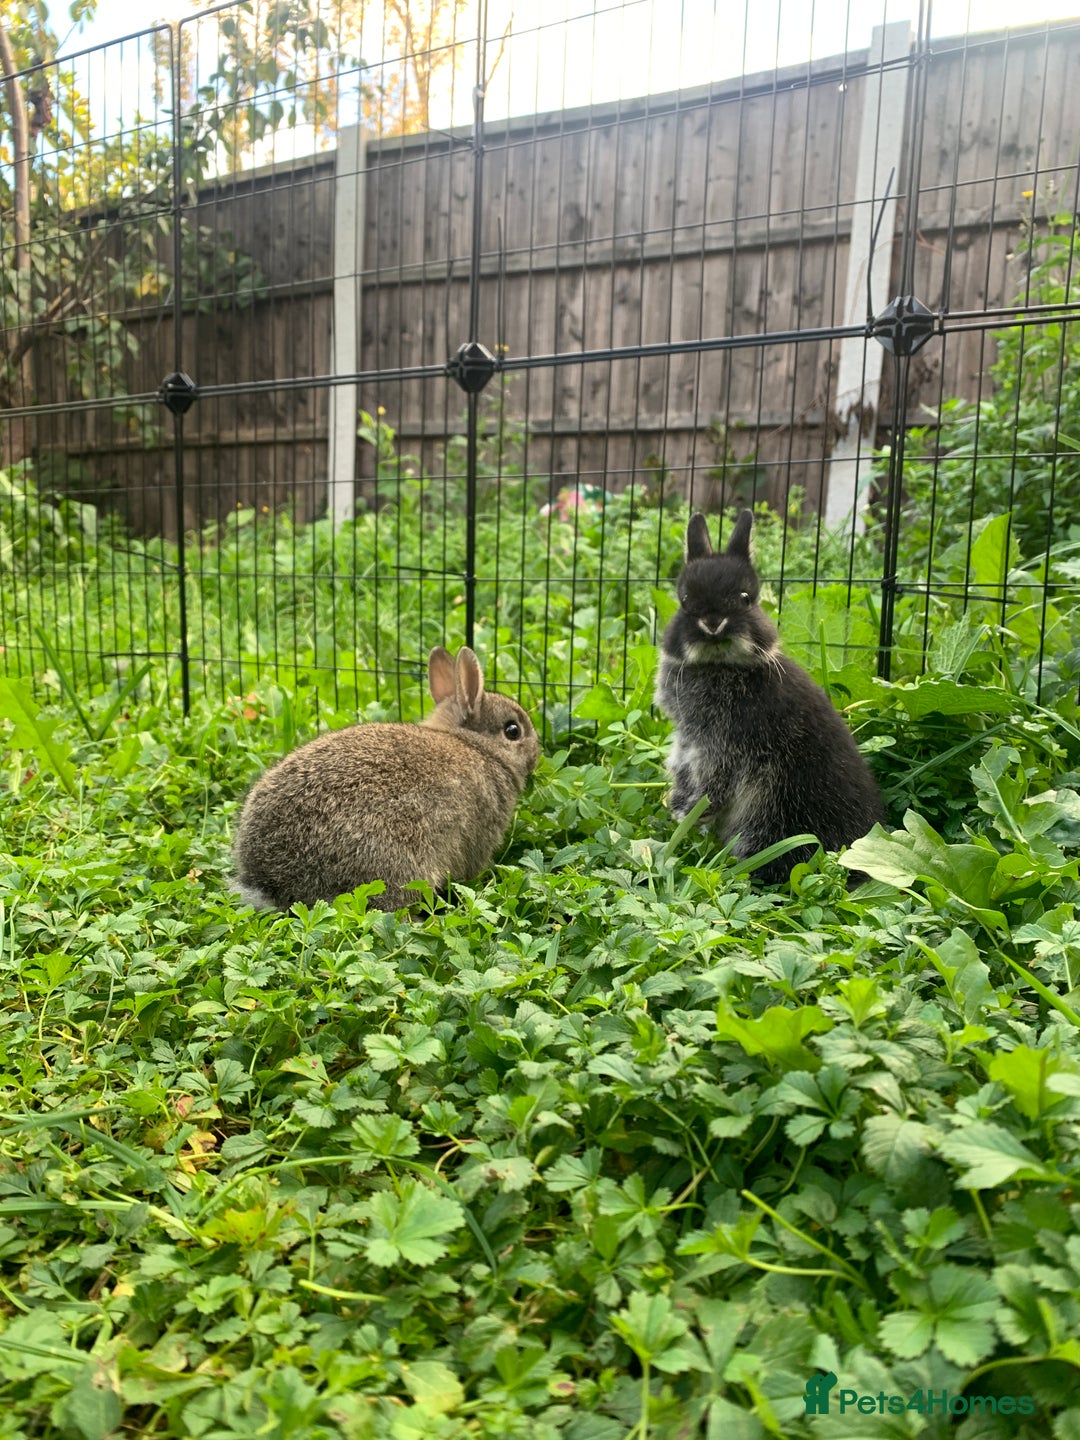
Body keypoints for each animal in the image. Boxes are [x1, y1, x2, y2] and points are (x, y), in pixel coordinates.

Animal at [654, 509, 884, 883]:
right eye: (684, 600)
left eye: (746, 597)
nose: (713, 624)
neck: (720, 666)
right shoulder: (690, 742)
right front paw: (678, 806)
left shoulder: (724, 747)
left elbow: (714, 783)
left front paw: (690, 812)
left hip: (774, 816)